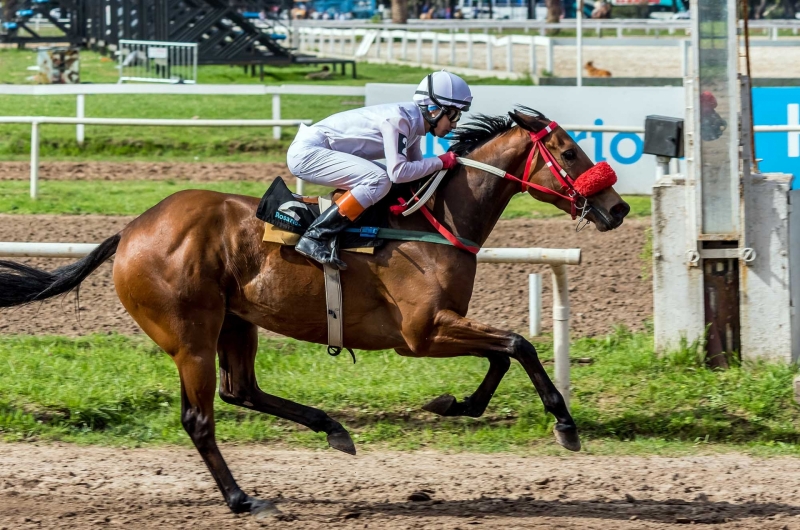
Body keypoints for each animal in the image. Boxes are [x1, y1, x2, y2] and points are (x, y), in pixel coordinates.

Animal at [0, 107, 628, 516]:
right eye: (569, 151)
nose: (618, 208)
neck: (431, 222)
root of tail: (132, 230)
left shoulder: (442, 326)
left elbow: (504, 353)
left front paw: (457, 405)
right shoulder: (422, 333)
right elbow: (519, 344)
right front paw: (564, 424)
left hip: (236, 323)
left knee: (241, 390)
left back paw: (332, 429)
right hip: (191, 334)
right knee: (201, 418)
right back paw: (241, 498)